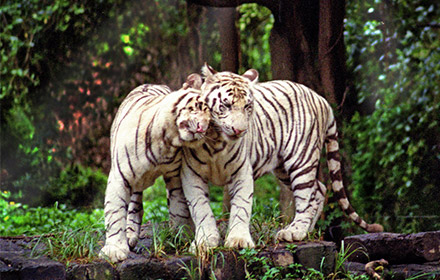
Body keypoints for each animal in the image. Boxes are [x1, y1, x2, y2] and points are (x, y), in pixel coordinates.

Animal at [100, 73, 211, 262]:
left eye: (211, 119)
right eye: (197, 108)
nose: (202, 128)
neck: (166, 140)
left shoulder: (175, 176)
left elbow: (178, 207)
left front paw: (180, 238)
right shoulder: (119, 177)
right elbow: (115, 214)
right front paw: (114, 250)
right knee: (135, 205)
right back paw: (130, 236)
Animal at [180, 64, 384, 250]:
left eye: (247, 106)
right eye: (225, 105)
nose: (240, 130)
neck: (215, 143)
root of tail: (321, 99)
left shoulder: (242, 173)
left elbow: (241, 207)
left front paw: (238, 241)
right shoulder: (191, 175)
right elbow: (201, 209)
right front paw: (205, 241)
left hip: (301, 159)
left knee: (307, 197)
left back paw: (295, 232)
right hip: (283, 168)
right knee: (319, 189)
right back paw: (306, 230)